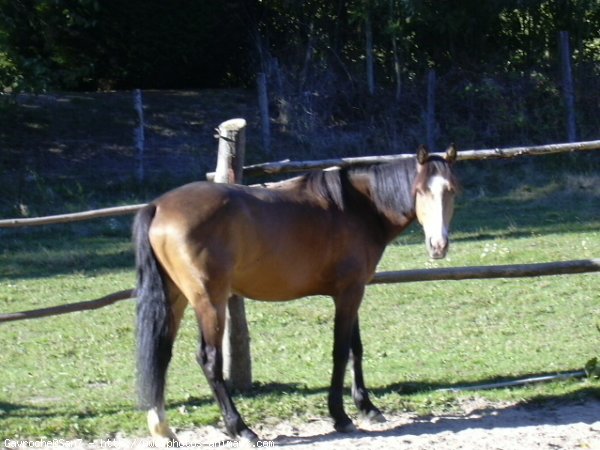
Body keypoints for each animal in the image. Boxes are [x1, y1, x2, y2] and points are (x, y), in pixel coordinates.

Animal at [134, 145, 458, 442]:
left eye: (452, 190)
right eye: (420, 190)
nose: (438, 246)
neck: (358, 207)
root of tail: (158, 206)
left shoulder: (352, 291)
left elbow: (356, 348)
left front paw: (367, 407)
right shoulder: (349, 293)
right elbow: (341, 351)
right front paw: (340, 416)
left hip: (175, 298)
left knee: (160, 355)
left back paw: (163, 430)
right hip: (209, 301)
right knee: (209, 360)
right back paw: (240, 428)